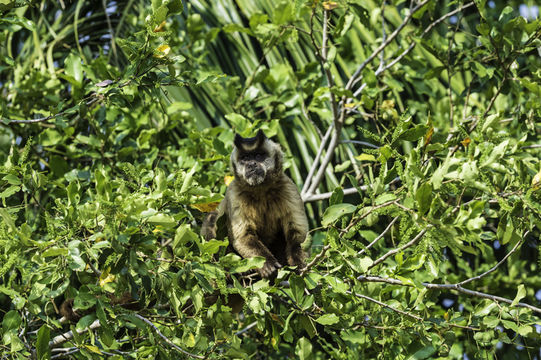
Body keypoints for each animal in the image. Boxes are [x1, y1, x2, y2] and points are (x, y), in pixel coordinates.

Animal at [200, 130, 308, 278]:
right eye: (245, 158)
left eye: (258, 156)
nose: (251, 164)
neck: (260, 189)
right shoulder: (235, 193)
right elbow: (243, 236)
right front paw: (265, 264)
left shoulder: (288, 187)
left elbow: (297, 234)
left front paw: (298, 263)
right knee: (212, 223)